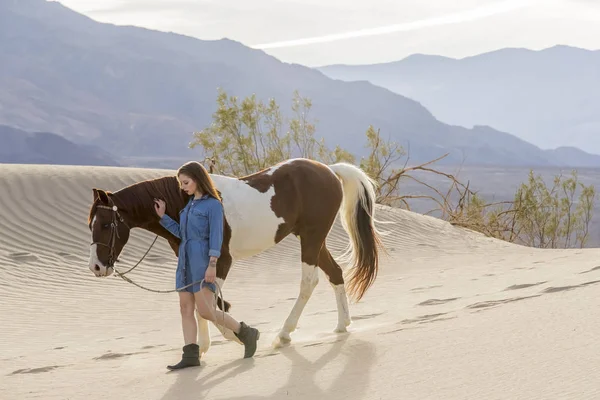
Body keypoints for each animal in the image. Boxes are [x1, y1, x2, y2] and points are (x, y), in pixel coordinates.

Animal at [88, 157, 384, 354]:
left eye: (106, 224)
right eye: (90, 224)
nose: (96, 267)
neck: (185, 202)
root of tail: (330, 171)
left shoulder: (221, 261)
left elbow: (208, 303)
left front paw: (234, 336)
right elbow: (202, 302)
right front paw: (205, 345)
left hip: (311, 239)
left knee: (309, 283)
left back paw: (283, 335)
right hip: (312, 239)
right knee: (336, 274)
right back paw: (342, 325)